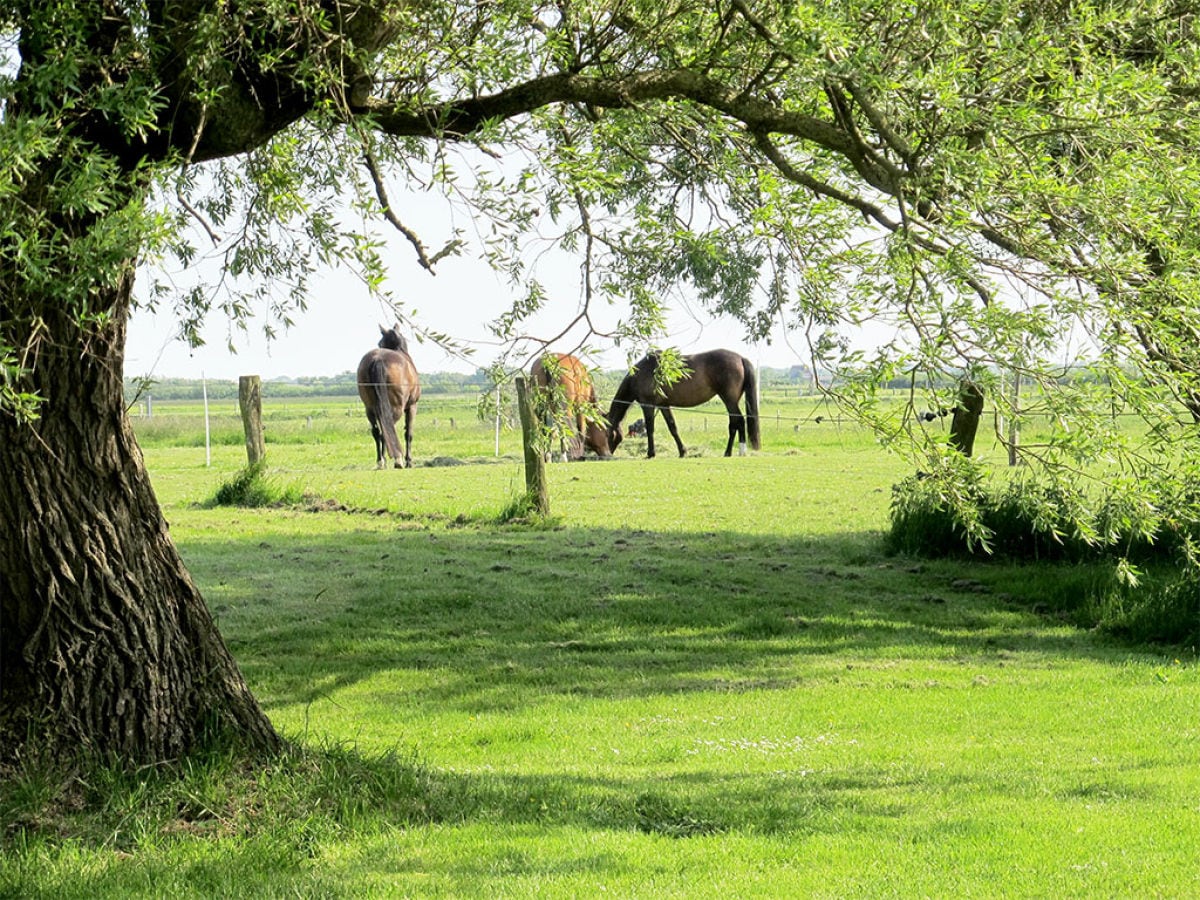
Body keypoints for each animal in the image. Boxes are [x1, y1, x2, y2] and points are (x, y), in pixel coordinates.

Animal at [355, 324, 422, 468]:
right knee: (388, 428)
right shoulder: (412, 406)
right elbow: (409, 433)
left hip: (370, 409)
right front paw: (409, 461)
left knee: (377, 432)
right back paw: (398, 460)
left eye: (380, 343)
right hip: (397, 408)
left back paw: (381, 461)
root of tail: (378, 359)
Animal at [604, 350, 763, 460]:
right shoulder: (664, 406)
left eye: (607, 434)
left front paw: (651, 453)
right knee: (736, 422)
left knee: (737, 422)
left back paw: (733, 451)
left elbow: (650, 429)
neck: (643, 372)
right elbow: (672, 427)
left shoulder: (648, 406)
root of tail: (740, 358)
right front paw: (682, 452)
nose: (604, 455)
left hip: (729, 400)